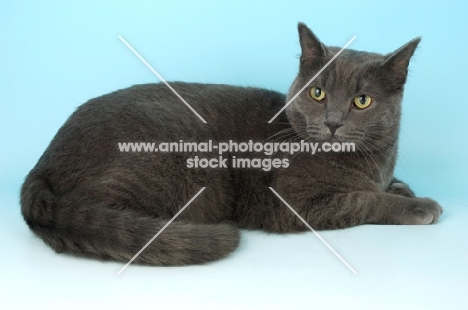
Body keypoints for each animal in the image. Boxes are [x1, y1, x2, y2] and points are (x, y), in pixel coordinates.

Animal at [19, 23, 442, 266]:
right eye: (318, 93)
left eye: (362, 101)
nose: (333, 122)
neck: (374, 161)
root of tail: (44, 160)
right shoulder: (296, 202)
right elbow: (366, 200)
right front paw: (420, 205)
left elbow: (385, 187)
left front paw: (404, 189)